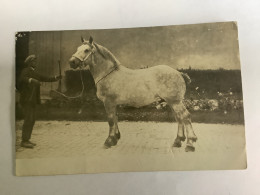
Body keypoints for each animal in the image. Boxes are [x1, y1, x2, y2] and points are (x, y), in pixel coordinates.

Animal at [69, 37, 197, 152]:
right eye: (77, 48)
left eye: (86, 50)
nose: (72, 62)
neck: (108, 74)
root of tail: (178, 73)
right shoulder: (113, 104)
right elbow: (115, 118)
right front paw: (115, 138)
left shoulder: (108, 102)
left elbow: (110, 120)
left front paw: (109, 141)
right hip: (172, 102)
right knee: (179, 118)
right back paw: (178, 141)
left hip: (175, 102)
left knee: (185, 117)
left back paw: (190, 144)